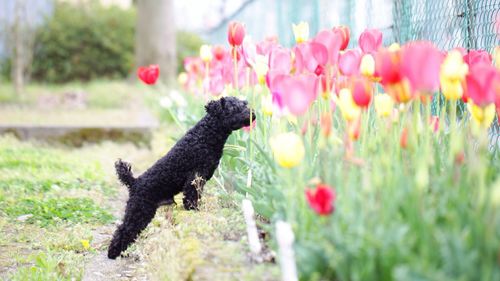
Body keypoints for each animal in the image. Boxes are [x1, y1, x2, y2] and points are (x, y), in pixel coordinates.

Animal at [105, 96, 254, 258]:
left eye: (245, 103)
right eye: (234, 108)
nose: (253, 114)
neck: (206, 135)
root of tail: (134, 182)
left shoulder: (200, 178)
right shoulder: (195, 176)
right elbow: (191, 197)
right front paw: (193, 210)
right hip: (139, 210)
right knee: (124, 230)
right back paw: (113, 253)